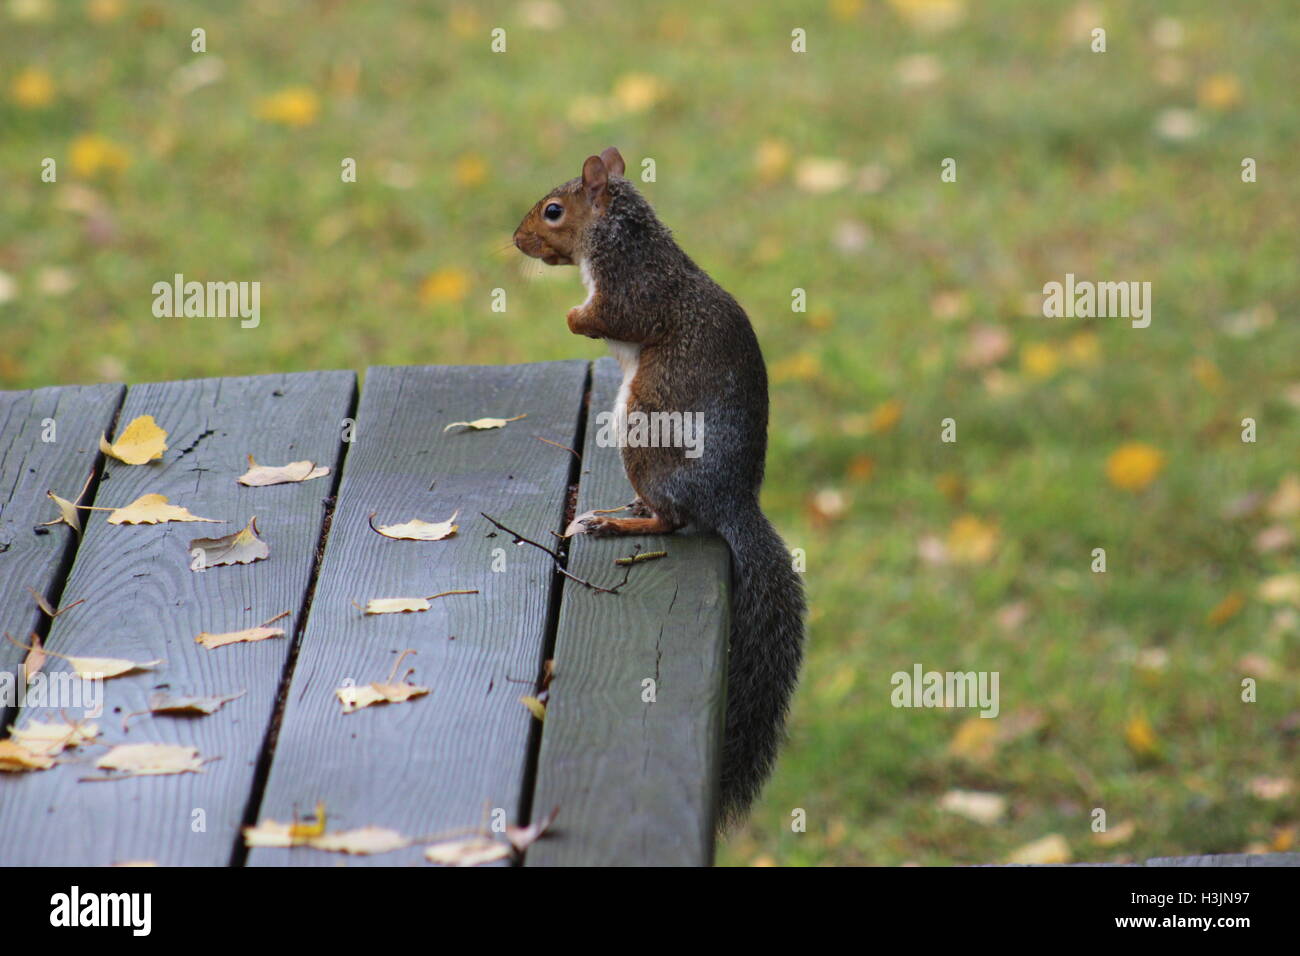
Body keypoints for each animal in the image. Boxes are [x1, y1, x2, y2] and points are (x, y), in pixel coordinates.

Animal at [514, 145, 800, 827]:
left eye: (553, 211)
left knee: (673, 521)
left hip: (645, 432)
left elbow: (605, 316)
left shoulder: (634, 293)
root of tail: (732, 501)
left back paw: (617, 522)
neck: (624, 239)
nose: (516, 240)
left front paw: (572, 317)